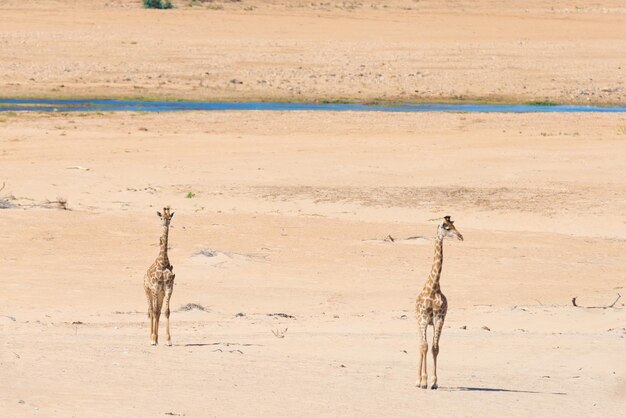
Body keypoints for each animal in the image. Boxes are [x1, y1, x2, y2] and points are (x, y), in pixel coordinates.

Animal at [414, 216, 464, 388]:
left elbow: (435, 348)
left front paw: (434, 382)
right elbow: (424, 346)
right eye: (447, 227)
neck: (434, 287)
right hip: (418, 321)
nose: (461, 236)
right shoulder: (423, 318)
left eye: (454, 225)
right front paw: (423, 381)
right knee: (420, 345)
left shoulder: (439, 318)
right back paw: (418, 380)